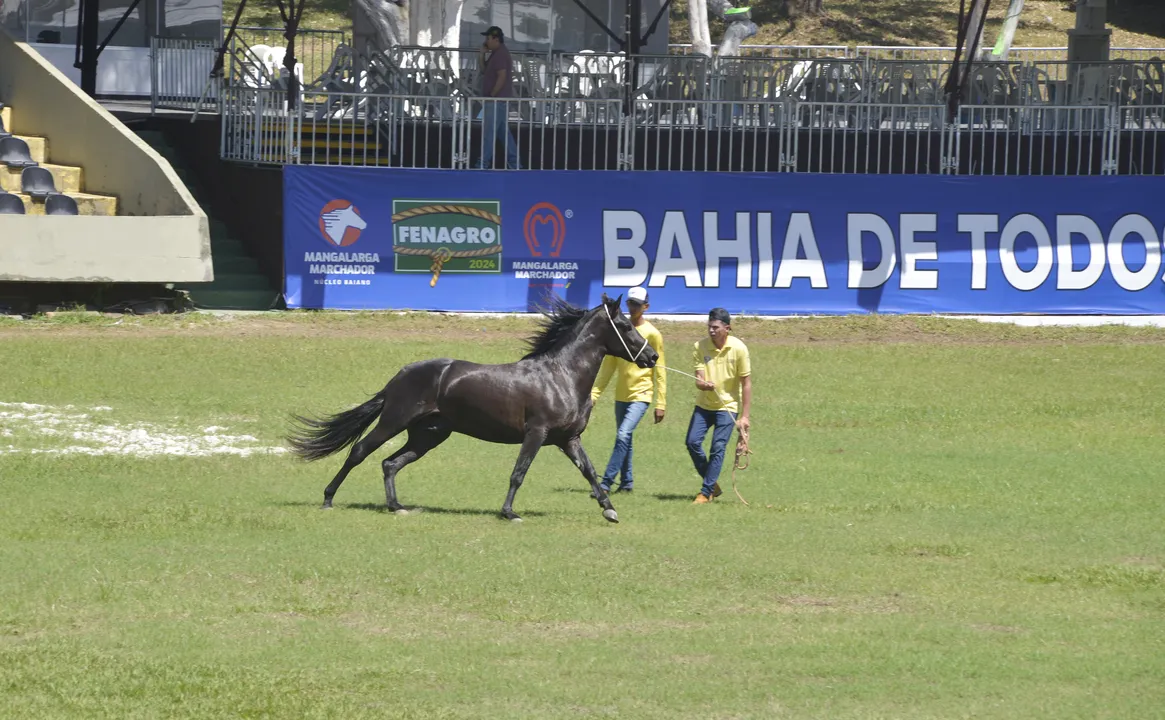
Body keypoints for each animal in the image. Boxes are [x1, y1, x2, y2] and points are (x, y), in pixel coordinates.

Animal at [286, 291, 661, 521]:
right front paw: (509, 513)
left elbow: (589, 472)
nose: (653, 357)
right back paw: (328, 498)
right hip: (394, 421)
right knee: (360, 451)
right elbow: (519, 472)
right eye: (624, 325)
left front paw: (609, 510)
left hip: (429, 434)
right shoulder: (536, 433)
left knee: (390, 463)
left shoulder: (568, 439)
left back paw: (397, 506)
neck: (561, 376)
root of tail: (399, 376)